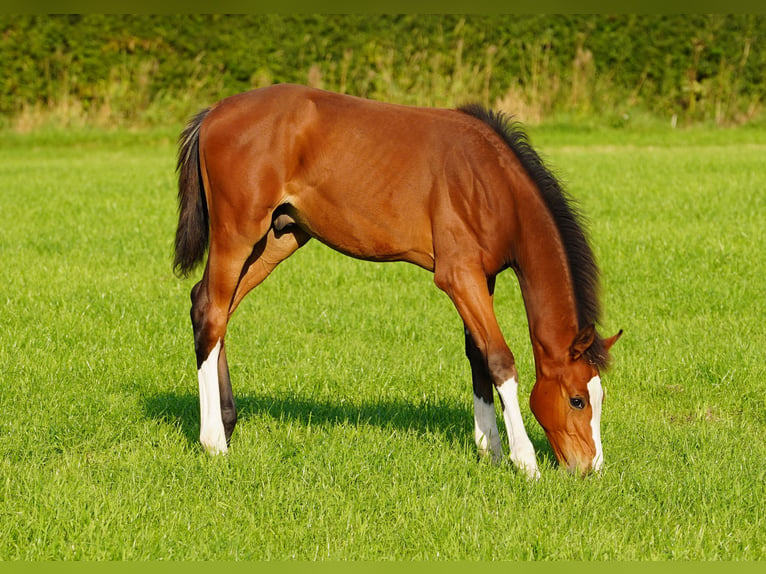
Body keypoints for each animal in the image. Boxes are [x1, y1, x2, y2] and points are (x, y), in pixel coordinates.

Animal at [174, 83, 624, 480]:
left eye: (598, 397)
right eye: (577, 400)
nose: (591, 468)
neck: (490, 183)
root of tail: (214, 112)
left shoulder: (483, 276)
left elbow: (477, 354)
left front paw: (489, 449)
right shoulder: (458, 276)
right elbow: (499, 358)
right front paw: (524, 461)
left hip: (278, 239)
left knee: (210, 308)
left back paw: (227, 423)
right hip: (238, 234)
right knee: (213, 312)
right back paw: (213, 441)